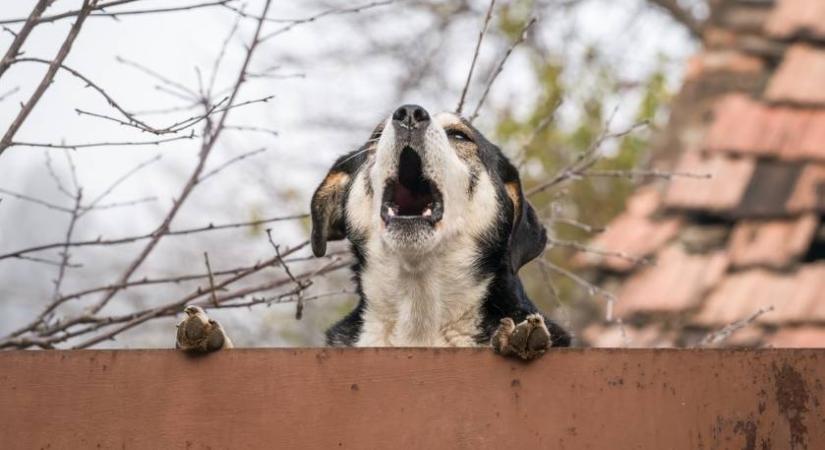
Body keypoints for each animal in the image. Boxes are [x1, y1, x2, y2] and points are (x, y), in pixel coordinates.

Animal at [177, 104, 568, 358]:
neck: (418, 310)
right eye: (377, 137)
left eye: (459, 135)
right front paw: (209, 339)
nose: (409, 113)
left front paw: (516, 340)